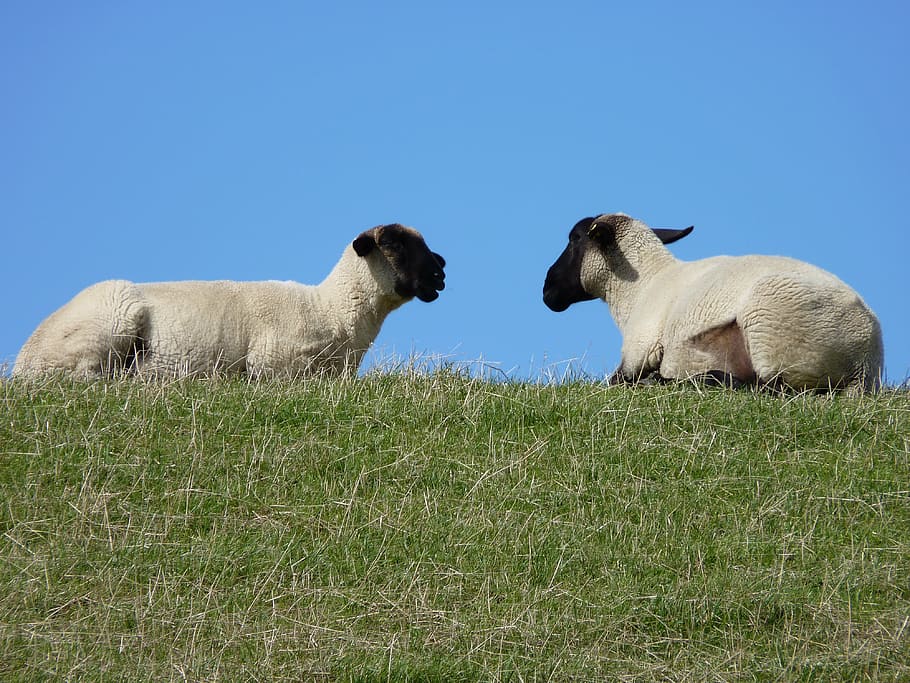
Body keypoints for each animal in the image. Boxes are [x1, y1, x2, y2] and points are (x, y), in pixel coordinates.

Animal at [10, 223, 446, 380]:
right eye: (394, 244)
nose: (441, 272)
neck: (330, 311)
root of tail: (24, 360)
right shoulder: (274, 365)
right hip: (109, 320)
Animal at [544, 214, 888, 396]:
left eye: (574, 238)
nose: (547, 289)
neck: (643, 286)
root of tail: (867, 359)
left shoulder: (637, 354)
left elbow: (615, 381)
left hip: (771, 330)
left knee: (768, 388)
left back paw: (680, 380)